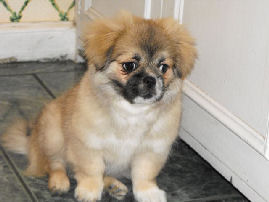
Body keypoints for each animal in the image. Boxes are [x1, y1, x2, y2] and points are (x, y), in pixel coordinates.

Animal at [1, 11, 196, 202]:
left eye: (163, 68)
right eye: (129, 65)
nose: (150, 79)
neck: (132, 112)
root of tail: (31, 142)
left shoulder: (152, 149)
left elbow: (144, 175)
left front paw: (148, 193)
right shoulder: (88, 145)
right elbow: (91, 170)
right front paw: (89, 191)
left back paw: (113, 186)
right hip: (52, 133)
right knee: (54, 164)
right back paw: (59, 182)